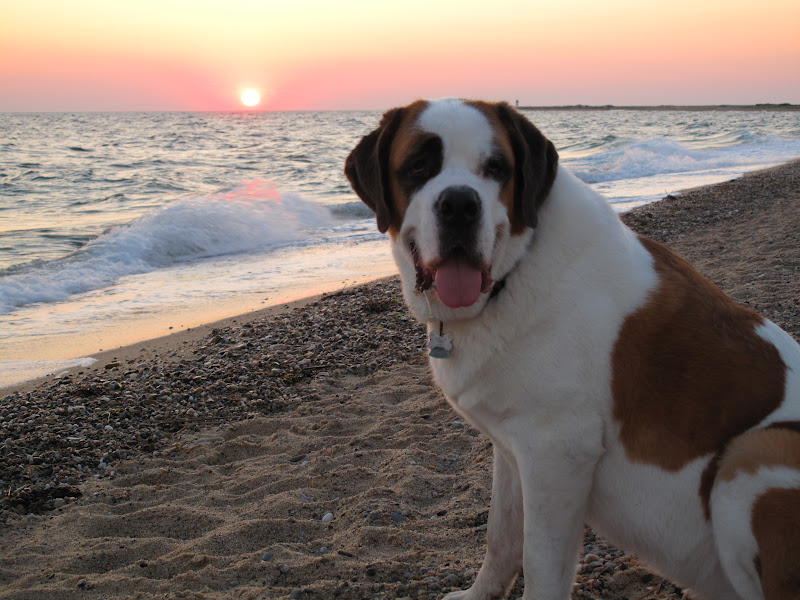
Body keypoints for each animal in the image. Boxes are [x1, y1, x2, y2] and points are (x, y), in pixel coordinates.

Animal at [345, 98, 800, 600]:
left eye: (496, 168)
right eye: (418, 166)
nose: (460, 204)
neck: (513, 273)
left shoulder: (556, 454)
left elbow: (540, 563)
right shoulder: (512, 448)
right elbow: (500, 537)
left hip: (756, 452)